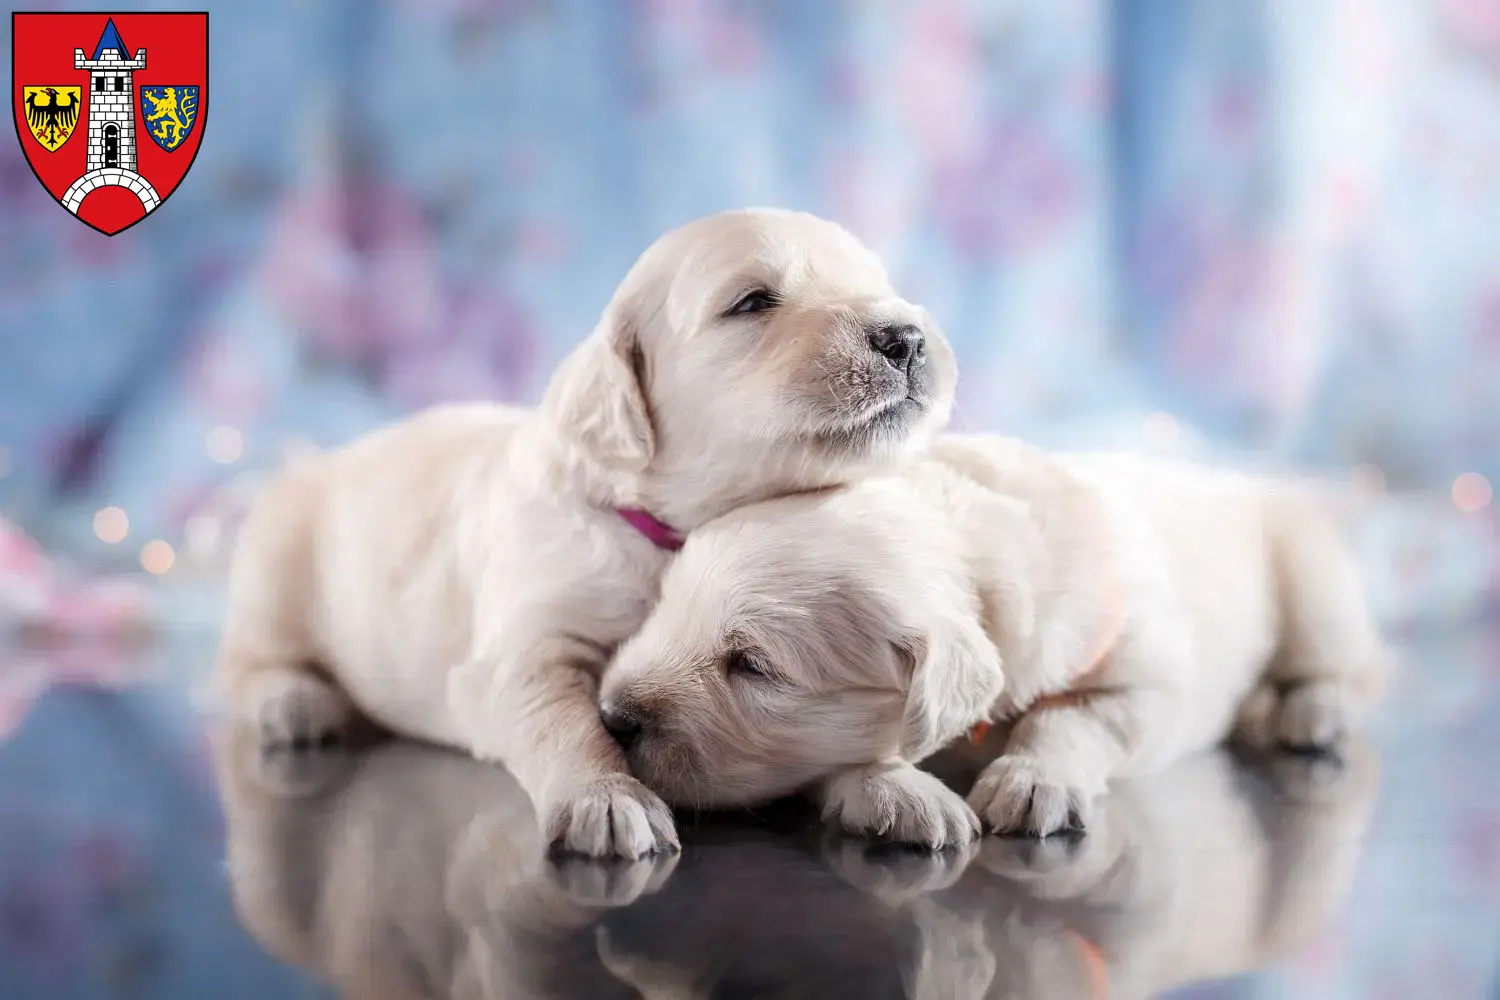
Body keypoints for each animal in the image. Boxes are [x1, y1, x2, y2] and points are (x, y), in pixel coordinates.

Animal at [217, 205, 954, 863]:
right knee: (246, 664)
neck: (664, 527)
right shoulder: (523, 647)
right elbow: (562, 720)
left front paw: (894, 783)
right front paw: (605, 798)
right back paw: (291, 702)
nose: (907, 337)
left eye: (879, 283)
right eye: (751, 302)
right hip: (273, 567)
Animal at [597, 434, 1392, 845]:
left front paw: (1034, 780)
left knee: (1343, 667)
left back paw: (1313, 714)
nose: (610, 718)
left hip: (1312, 578)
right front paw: (900, 795)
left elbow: (1075, 715)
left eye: (752, 666)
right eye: (662, 607)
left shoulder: (1151, 678)